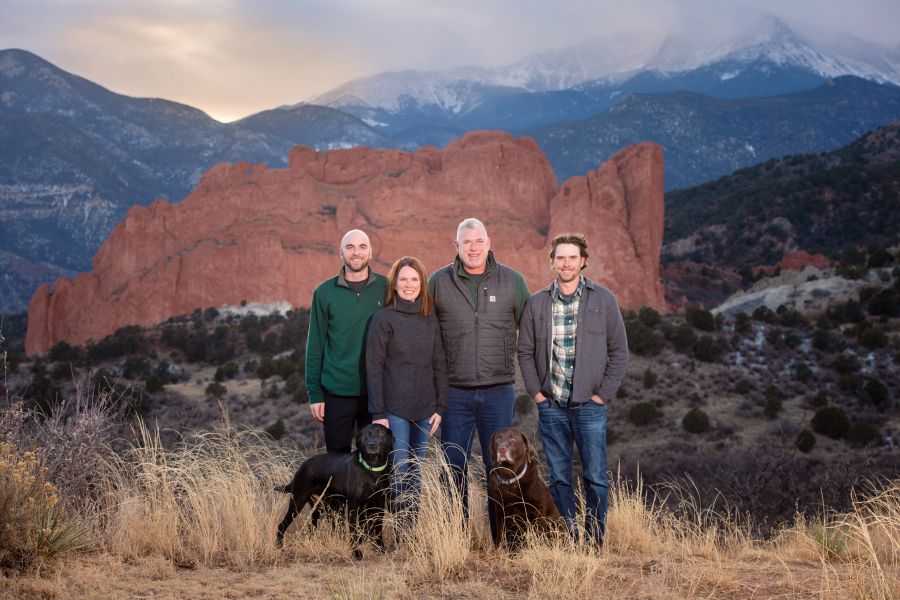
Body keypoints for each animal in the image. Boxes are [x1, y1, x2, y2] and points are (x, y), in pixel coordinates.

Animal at [276, 422, 392, 556]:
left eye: (381, 434)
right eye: (366, 435)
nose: (372, 445)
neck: (372, 469)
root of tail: (302, 466)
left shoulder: (379, 505)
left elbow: (377, 529)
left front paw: (381, 549)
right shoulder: (353, 506)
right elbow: (353, 531)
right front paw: (356, 553)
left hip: (319, 508)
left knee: (310, 528)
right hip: (297, 501)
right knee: (281, 525)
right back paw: (279, 548)